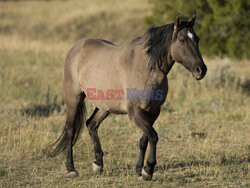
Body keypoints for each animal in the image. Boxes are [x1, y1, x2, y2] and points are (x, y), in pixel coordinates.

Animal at [47, 13, 207, 181]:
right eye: (182, 40)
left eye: (197, 39)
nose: (201, 70)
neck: (145, 69)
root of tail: (76, 47)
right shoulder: (135, 112)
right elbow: (153, 136)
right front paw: (148, 169)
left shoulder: (153, 112)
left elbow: (144, 140)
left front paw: (140, 169)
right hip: (73, 99)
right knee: (71, 131)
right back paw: (71, 168)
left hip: (105, 107)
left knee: (91, 124)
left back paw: (98, 164)